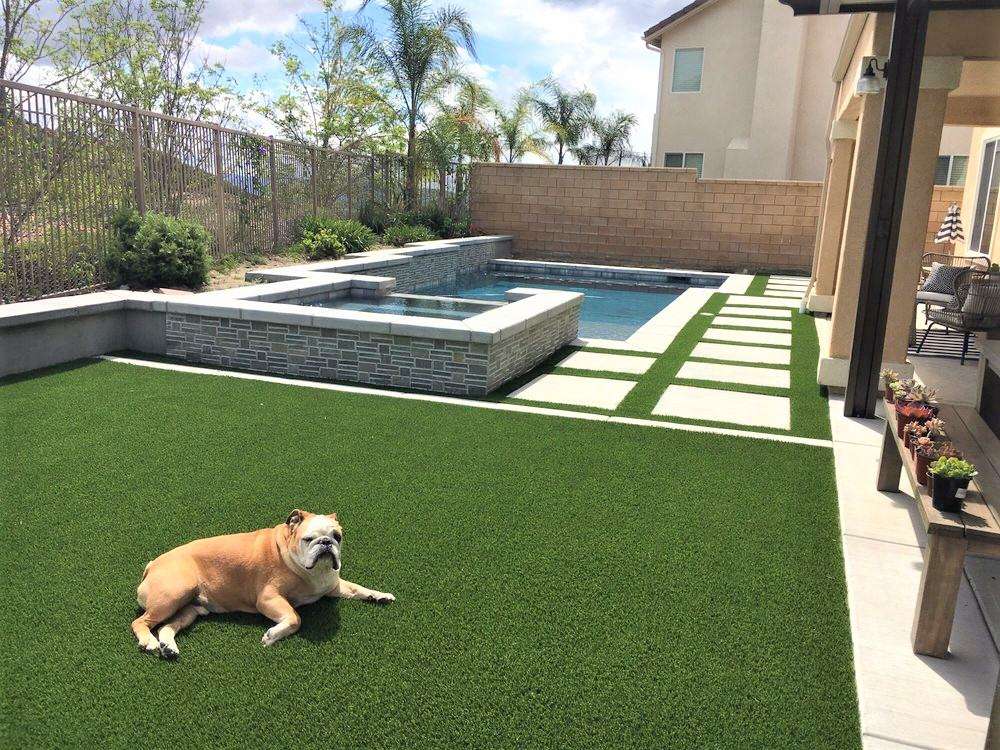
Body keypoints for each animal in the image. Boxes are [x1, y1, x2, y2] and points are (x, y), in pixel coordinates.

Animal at [132, 512, 394, 656]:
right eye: (308, 539)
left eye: (338, 536)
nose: (326, 543)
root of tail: (152, 564)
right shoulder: (269, 599)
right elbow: (295, 618)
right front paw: (272, 635)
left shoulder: (333, 585)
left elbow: (357, 588)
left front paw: (379, 595)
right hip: (174, 594)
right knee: (141, 622)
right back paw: (149, 642)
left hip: (189, 608)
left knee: (167, 627)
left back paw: (168, 646)